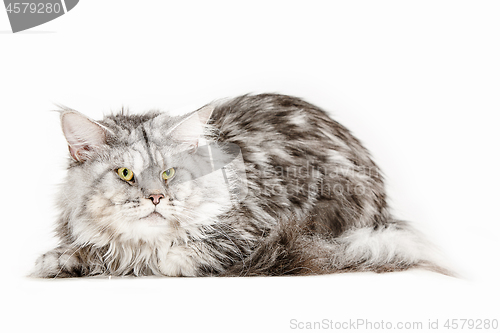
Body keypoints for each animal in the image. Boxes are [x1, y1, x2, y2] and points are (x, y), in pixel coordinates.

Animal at [32, 93, 446, 278]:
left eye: (168, 173)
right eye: (125, 174)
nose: (156, 197)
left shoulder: (250, 235)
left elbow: (169, 257)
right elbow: (77, 252)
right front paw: (67, 260)